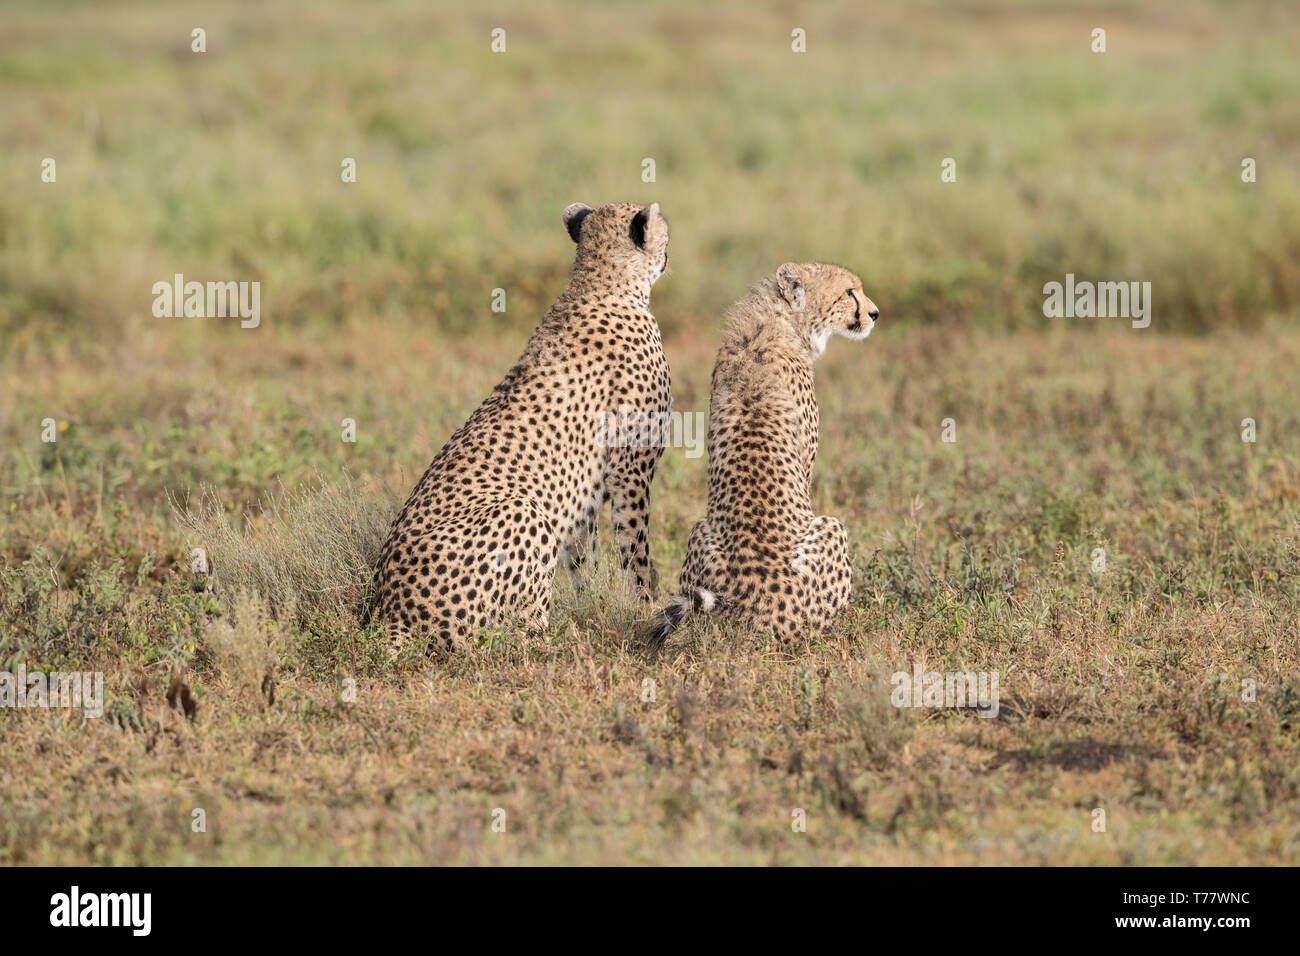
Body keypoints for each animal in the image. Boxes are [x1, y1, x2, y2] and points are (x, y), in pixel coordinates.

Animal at [366, 200, 670, 650]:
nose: (668, 253)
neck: (600, 283)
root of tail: (388, 613)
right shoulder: (631, 470)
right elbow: (636, 551)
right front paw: (648, 609)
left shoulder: (583, 492)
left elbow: (585, 562)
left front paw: (594, 606)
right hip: (524, 509)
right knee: (508, 636)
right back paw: (557, 636)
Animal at [642, 260, 883, 650]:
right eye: (850, 292)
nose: (874, 313)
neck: (774, 322)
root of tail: (758, 612)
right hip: (832, 527)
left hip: (698, 529)